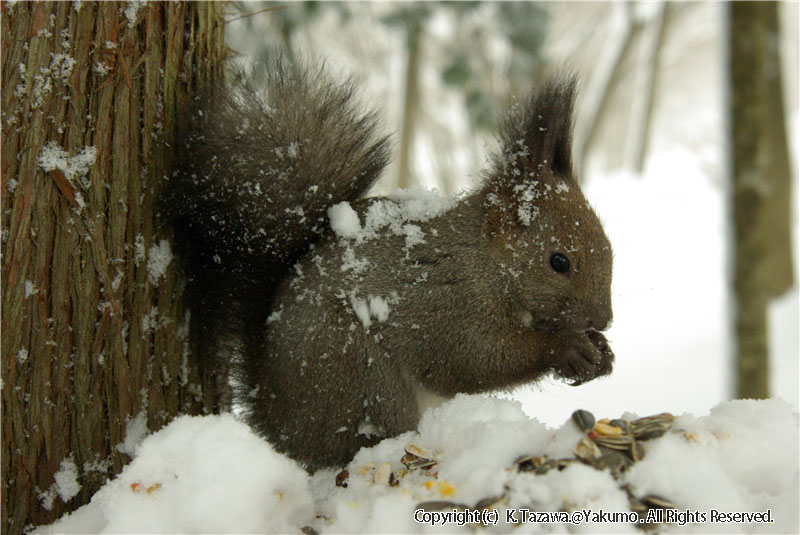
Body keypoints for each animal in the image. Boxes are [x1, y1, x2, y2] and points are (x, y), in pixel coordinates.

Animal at [161, 56, 612, 472]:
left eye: (609, 246)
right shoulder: (447, 304)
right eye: (558, 261)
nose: (604, 320)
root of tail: (279, 421)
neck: (488, 262)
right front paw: (566, 347)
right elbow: (475, 360)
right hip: (360, 374)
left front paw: (603, 353)